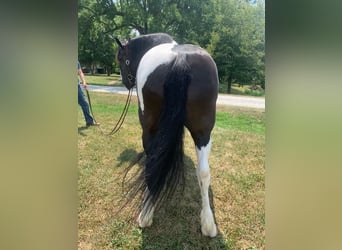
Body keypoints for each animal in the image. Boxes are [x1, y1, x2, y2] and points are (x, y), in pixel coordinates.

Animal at [116, 32, 218, 236]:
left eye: (120, 59)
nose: (125, 82)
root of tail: (180, 57)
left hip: (149, 128)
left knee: (152, 164)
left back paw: (146, 214)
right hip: (203, 132)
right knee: (204, 172)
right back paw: (208, 224)